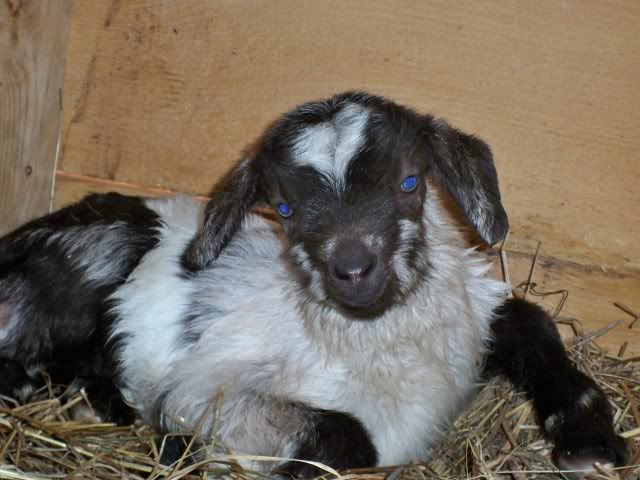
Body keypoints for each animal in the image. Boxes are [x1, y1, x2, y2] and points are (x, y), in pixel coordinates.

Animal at [0, 92, 628, 476]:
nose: (351, 267)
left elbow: (533, 321)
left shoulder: (474, 325)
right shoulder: (199, 390)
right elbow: (347, 434)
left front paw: (589, 442)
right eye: (284, 207)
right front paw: (189, 452)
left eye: (409, 181)